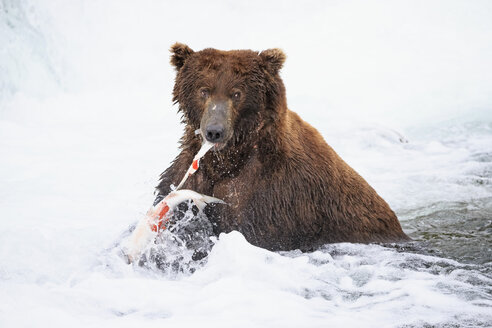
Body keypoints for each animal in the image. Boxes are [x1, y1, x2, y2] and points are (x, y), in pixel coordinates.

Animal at [156, 41, 410, 251]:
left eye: (237, 93)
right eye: (204, 90)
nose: (214, 131)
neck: (230, 158)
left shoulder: (271, 195)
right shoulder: (189, 175)